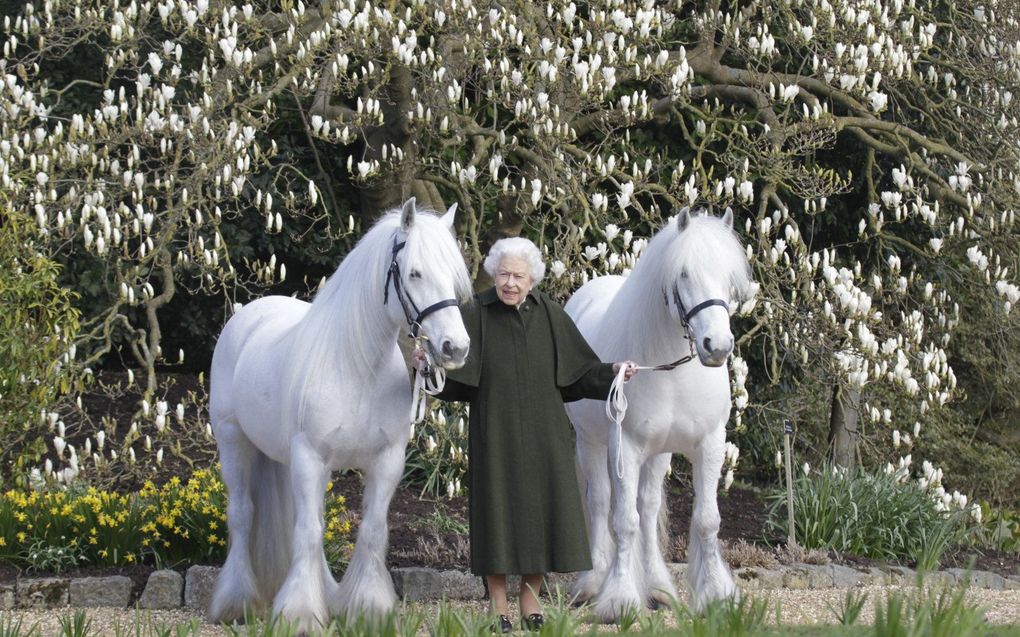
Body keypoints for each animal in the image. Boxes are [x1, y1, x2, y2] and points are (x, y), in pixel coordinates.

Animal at [211, 198, 473, 631]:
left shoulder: (386, 461)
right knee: (243, 515)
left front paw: (368, 608)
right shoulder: (309, 457)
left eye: (453, 277)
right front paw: (299, 614)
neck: (356, 367)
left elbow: (370, 531)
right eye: (415, 272)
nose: (456, 347)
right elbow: (307, 532)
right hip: (234, 443)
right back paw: (236, 602)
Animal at [563, 205, 754, 619]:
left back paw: (657, 588)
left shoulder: (709, 444)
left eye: (728, 278)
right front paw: (619, 599)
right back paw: (592, 582)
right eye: (683, 274)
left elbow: (706, 520)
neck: (672, 369)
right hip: (591, 444)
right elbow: (623, 521)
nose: (717, 346)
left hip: (658, 453)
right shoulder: (626, 447)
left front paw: (716, 594)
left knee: (648, 508)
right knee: (601, 502)